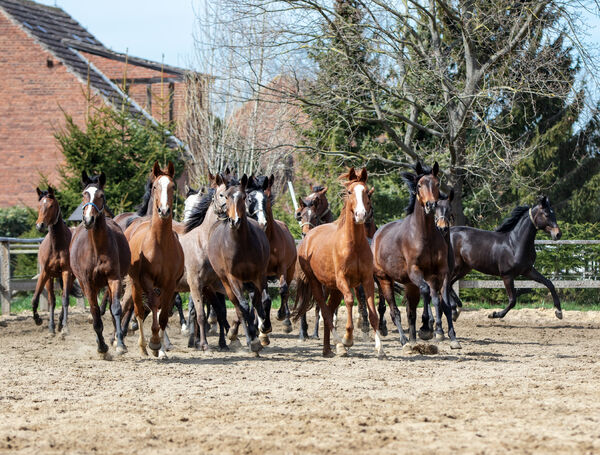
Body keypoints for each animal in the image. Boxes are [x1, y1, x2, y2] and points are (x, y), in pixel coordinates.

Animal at [70, 171, 131, 356]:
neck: (97, 249)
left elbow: (116, 308)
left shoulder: (114, 278)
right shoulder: (87, 283)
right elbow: (95, 312)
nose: (88, 219)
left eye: (101, 195)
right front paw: (102, 346)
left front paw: (120, 344)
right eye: (84, 194)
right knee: (96, 311)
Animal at [125, 162, 184, 358]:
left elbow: (164, 314)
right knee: (138, 311)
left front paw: (161, 348)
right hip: (135, 284)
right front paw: (154, 343)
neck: (160, 244)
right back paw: (143, 346)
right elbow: (151, 307)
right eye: (155, 186)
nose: (164, 210)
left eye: (172, 186)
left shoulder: (170, 284)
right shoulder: (147, 280)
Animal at [209, 173, 270, 354]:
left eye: (244, 197)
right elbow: (243, 306)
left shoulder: (258, 276)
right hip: (225, 282)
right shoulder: (233, 277)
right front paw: (253, 338)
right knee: (237, 306)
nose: (234, 221)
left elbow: (258, 301)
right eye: (226, 196)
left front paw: (263, 329)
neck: (241, 244)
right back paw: (242, 338)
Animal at [372, 163, 462, 350]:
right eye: (419, 185)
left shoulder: (441, 273)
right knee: (394, 310)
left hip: (409, 284)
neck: (425, 235)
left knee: (410, 311)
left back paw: (412, 338)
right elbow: (427, 292)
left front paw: (451, 337)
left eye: (436, 183)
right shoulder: (416, 271)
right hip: (384, 279)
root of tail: (377, 235)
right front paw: (427, 328)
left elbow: (443, 302)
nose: (430, 205)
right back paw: (404, 340)